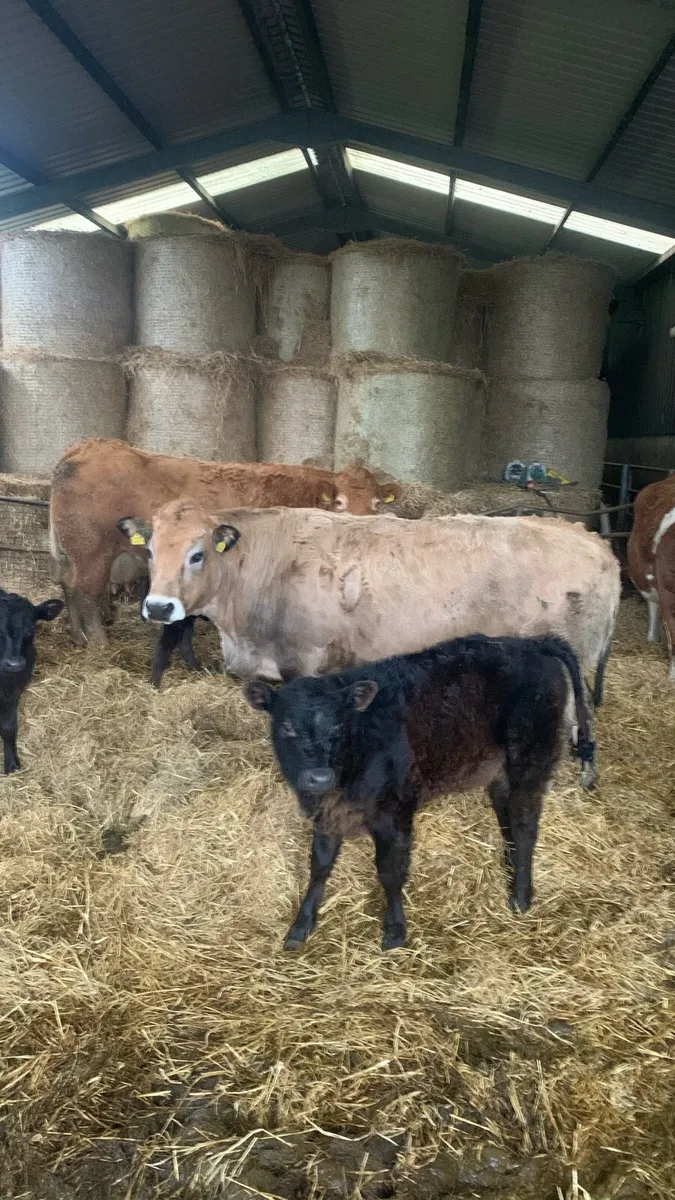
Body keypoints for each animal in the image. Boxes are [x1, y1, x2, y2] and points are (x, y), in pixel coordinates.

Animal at [49, 438, 400, 684]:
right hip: (92, 551)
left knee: (67, 583)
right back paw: (99, 644)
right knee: (86, 594)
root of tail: (87, 447)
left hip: (76, 553)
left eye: (376, 503)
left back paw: (78, 637)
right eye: (340, 502)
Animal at [243, 634, 594, 949]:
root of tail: (532, 642)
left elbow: (390, 871)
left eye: (339, 725)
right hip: (499, 771)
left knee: (524, 826)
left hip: (530, 762)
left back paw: (520, 897)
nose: (318, 777)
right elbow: (319, 866)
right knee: (506, 814)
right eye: (286, 726)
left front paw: (395, 931)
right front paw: (301, 925)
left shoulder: (395, 813)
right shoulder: (328, 817)